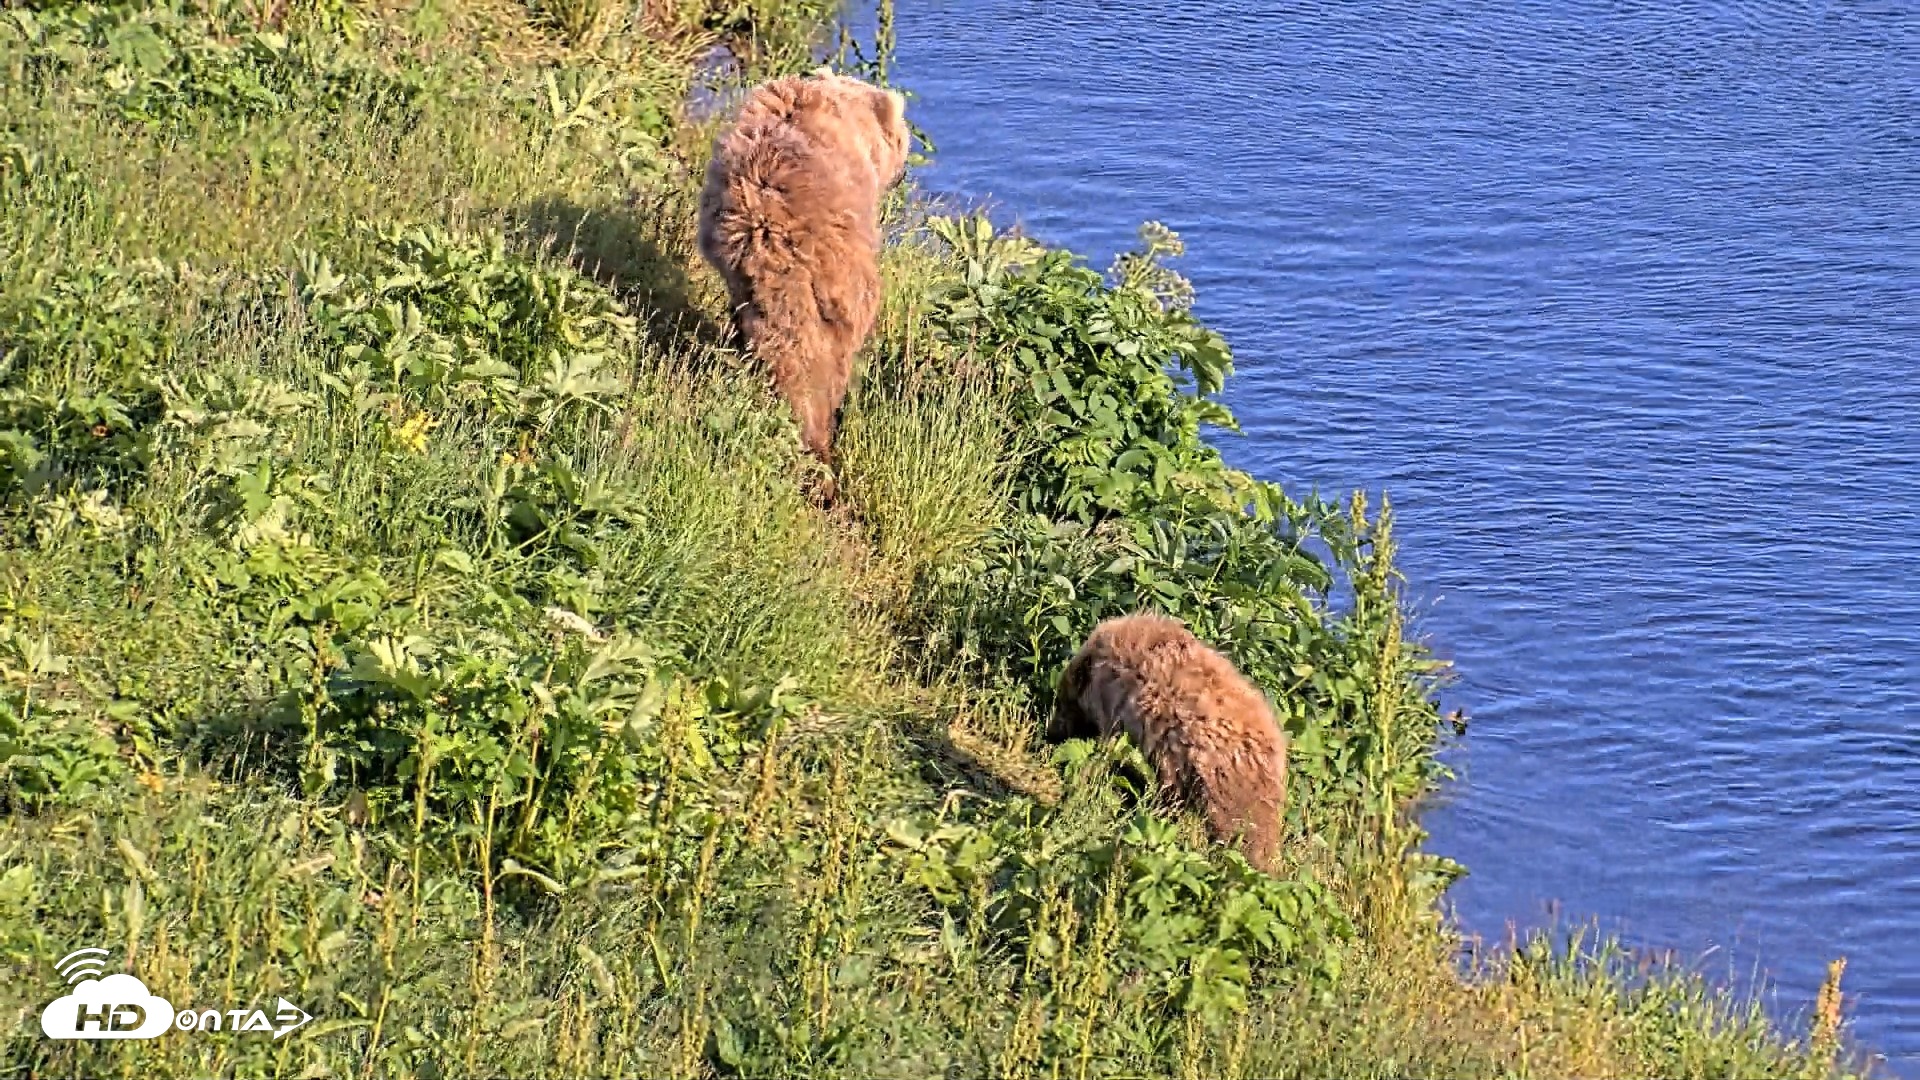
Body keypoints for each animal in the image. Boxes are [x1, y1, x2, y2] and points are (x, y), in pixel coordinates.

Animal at [696, 68, 911, 499]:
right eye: (904, 138)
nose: (903, 171)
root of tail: (770, 226)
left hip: (746, 273)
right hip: (835, 274)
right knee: (828, 354)